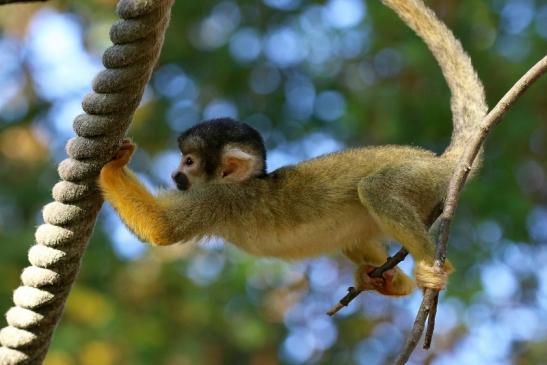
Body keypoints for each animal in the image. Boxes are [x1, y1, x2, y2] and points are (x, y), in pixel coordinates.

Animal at [98, 0, 488, 294]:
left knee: (376, 189)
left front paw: (114, 165)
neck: (245, 183)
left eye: (190, 162)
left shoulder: (220, 200)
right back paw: (389, 281)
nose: (176, 173)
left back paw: (430, 267)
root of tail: (444, 160)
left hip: (422, 176)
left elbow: (161, 228)